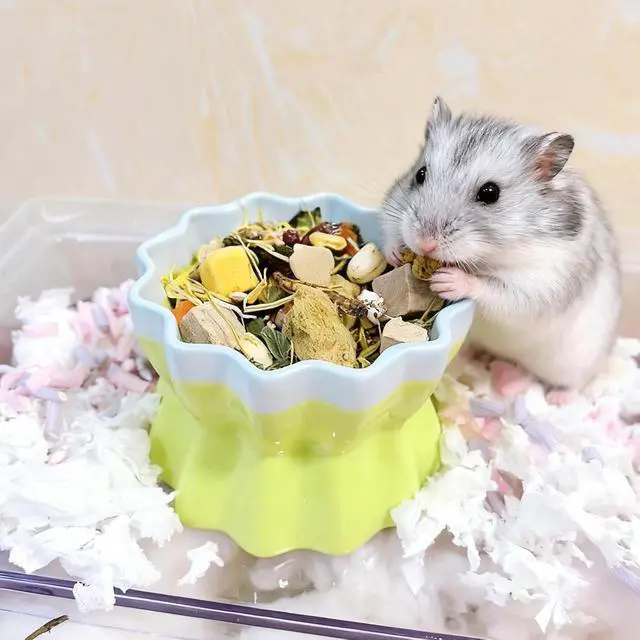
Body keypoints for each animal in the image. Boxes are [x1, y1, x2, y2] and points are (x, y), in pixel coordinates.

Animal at [380, 97, 621, 398]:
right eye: (420, 174)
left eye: (490, 193)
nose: (425, 243)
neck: (487, 256)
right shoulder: (393, 207)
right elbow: (389, 226)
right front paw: (394, 254)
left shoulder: (540, 284)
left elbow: (493, 290)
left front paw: (448, 280)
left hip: (575, 363)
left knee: (570, 383)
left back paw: (548, 395)